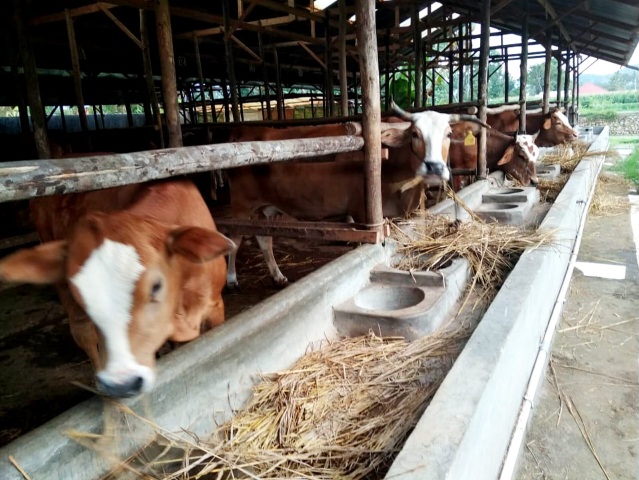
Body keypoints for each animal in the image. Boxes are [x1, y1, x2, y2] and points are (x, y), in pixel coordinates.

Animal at [226, 101, 490, 286]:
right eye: (415, 134)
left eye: (448, 134)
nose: (435, 167)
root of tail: (246, 131)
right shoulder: (363, 213)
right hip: (239, 203)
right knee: (234, 237)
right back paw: (231, 279)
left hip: (267, 207)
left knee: (264, 239)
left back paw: (278, 276)